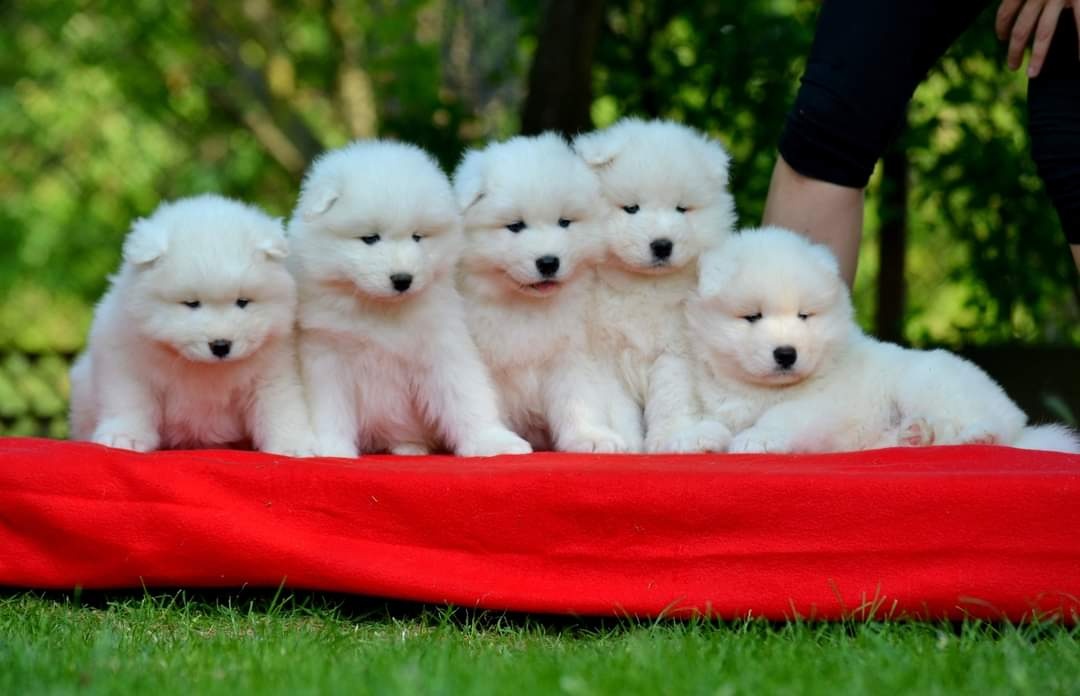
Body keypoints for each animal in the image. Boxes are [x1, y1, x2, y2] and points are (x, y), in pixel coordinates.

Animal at [69, 195, 315, 456]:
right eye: (191, 303)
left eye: (242, 302)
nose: (221, 345)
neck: (201, 367)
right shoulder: (127, 365)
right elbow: (130, 402)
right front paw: (124, 437)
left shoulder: (273, 372)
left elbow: (280, 406)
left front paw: (293, 447)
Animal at [287, 140, 531, 456]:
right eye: (370, 238)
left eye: (418, 236)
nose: (403, 279)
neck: (379, 308)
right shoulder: (326, 352)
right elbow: (330, 408)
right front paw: (332, 450)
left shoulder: (443, 344)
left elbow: (466, 394)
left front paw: (493, 441)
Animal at [453, 133, 635, 453]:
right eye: (515, 226)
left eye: (564, 222)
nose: (549, 262)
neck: (526, 305)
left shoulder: (572, 354)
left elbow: (578, 398)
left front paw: (590, 437)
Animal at [574, 116, 743, 453]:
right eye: (632, 208)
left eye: (681, 208)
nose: (662, 245)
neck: (645, 287)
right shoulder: (606, 357)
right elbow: (617, 407)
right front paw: (625, 443)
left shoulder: (675, 353)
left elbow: (671, 400)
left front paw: (669, 439)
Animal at [686, 226, 1075, 456]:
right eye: (752, 316)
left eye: (804, 316)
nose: (786, 354)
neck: (762, 389)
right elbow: (710, 418)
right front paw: (699, 438)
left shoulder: (824, 403)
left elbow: (783, 415)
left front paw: (757, 438)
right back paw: (915, 434)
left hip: (928, 381)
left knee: (995, 427)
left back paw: (976, 436)